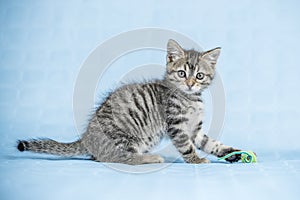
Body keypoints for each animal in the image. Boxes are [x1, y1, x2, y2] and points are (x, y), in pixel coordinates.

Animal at [16, 39, 241, 164]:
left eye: (200, 76)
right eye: (182, 73)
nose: (191, 84)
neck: (190, 98)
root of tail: (87, 137)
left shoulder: (194, 129)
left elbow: (210, 143)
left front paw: (232, 153)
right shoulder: (177, 127)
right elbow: (187, 146)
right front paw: (196, 160)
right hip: (127, 136)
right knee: (119, 158)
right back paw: (151, 158)